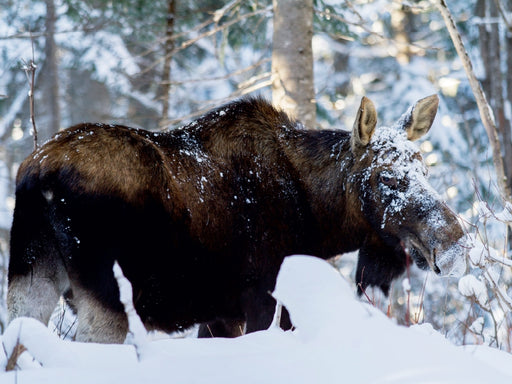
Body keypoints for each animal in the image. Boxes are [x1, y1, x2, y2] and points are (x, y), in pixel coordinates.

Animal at [7, 94, 468, 344]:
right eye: (387, 176)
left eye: (425, 169)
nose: (455, 243)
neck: (319, 220)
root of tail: (36, 175)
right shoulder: (265, 299)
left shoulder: (221, 313)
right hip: (107, 295)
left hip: (30, 275)